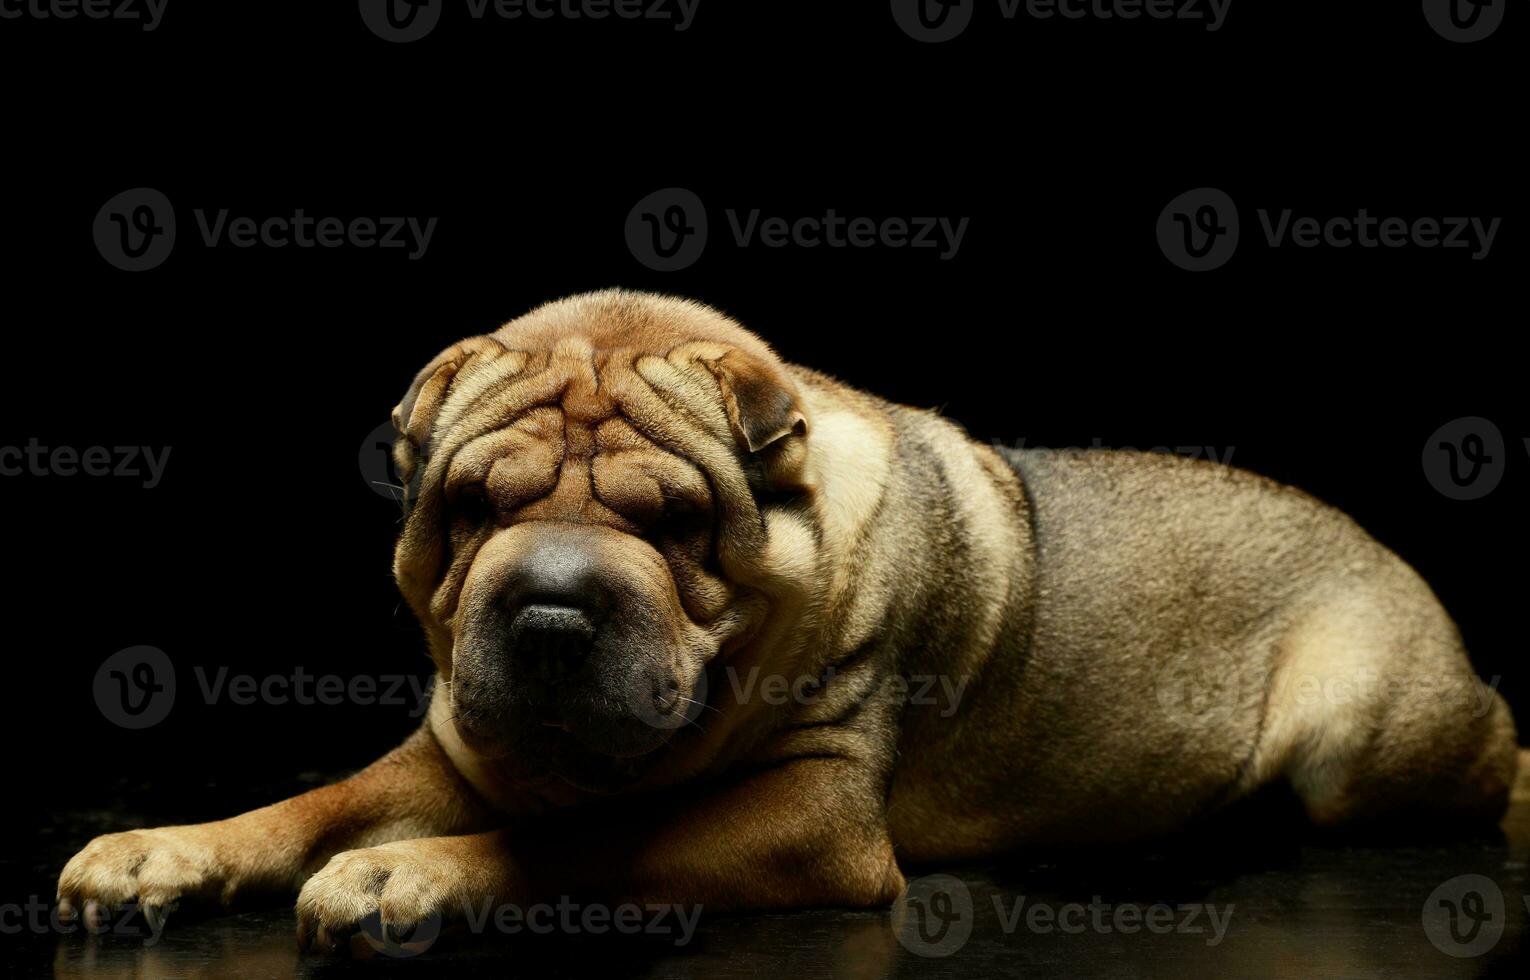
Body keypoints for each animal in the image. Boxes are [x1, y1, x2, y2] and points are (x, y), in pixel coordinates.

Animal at [56, 287, 1517, 941]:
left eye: (675, 524)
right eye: (469, 506)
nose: (549, 604)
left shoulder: (808, 818)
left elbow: (595, 843)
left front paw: (404, 874)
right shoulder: (448, 750)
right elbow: (303, 804)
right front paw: (159, 851)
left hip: (1351, 740)